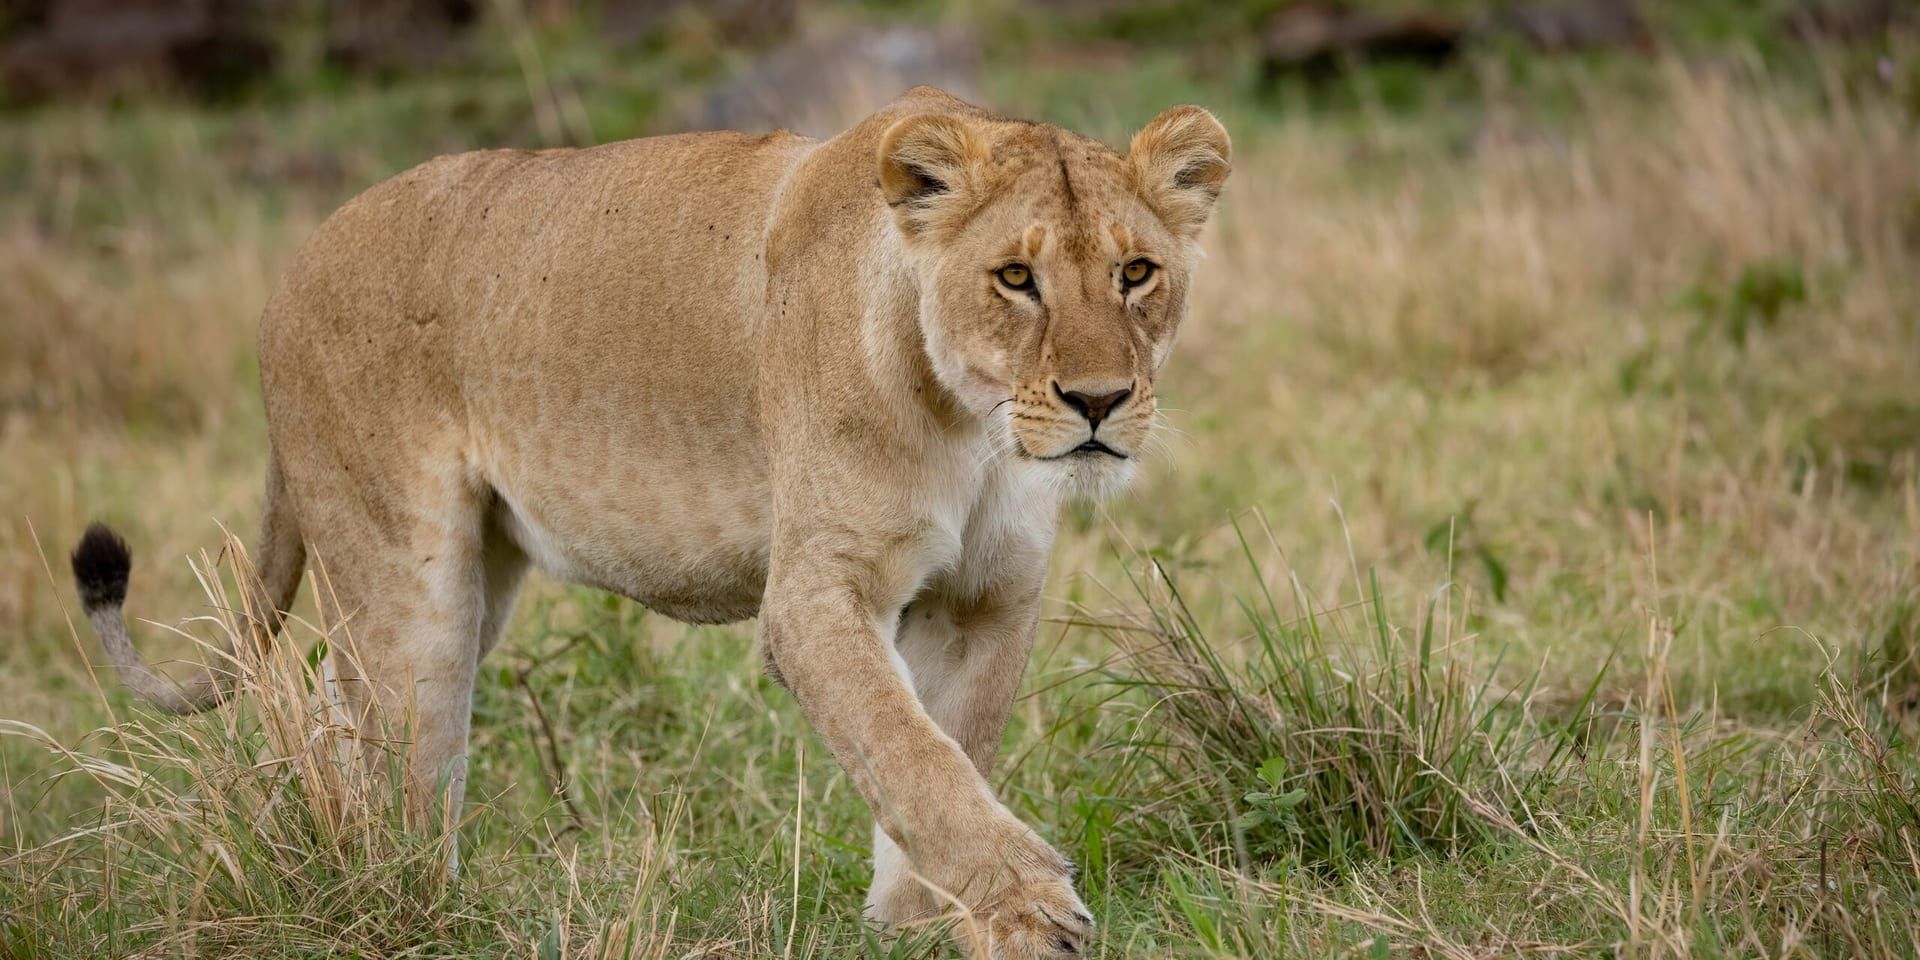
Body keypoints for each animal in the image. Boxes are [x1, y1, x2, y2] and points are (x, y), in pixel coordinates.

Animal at [70, 86, 1229, 958]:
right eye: (1015, 279)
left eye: (1136, 273)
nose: (1097, 402)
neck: (975, 432)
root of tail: (296, 263)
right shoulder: (817, 596)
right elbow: (912, 755)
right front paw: (1029, 911)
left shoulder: (989, 599)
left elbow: (952, 753)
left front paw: (915, 929)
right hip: (407, 574)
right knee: (394, 737)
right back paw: (397, 896)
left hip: (483, 569)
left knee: (331, 708)